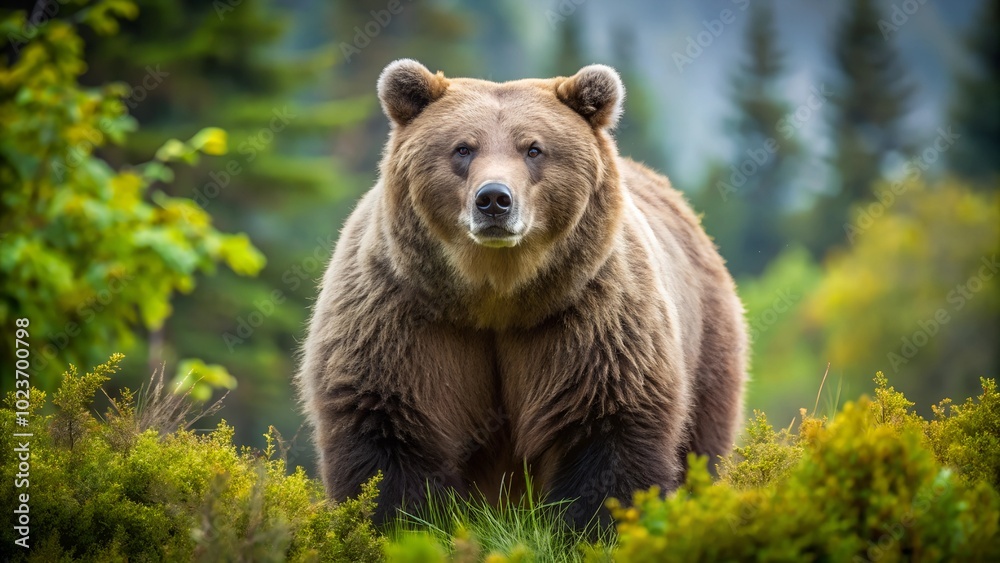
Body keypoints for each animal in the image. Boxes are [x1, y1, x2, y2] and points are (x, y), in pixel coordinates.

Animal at [296, 59, 748, 528]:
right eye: (463, 148)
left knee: (702, 445)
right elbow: (388, 427)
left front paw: (594, 524)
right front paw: (403, 521)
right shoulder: (403, 314)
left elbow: (607, 429)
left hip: (707, 341)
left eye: (533, 149)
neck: (496, 296)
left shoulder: (593, 318)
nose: (494, 199)